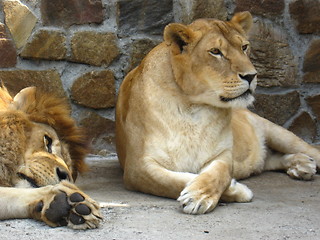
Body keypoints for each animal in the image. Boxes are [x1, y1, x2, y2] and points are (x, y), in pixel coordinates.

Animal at [115, 11, 320, 215]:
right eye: (215, 52)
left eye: (244, 47)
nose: (251, 76)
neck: (192, 106)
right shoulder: (137, 168)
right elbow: (171, 181)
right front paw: (236, 190)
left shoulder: (223, 153)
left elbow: (218, 174)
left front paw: (199, 196)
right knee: (268, 160)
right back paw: (301, 165)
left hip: (279, 134)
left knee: (309, 151)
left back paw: (304, 162)